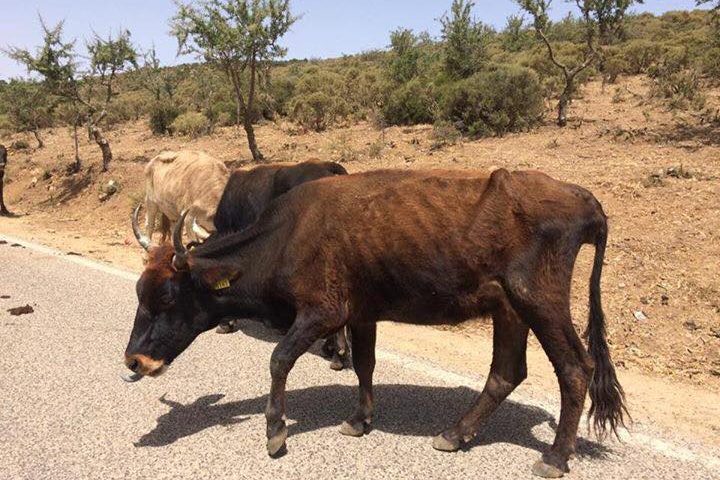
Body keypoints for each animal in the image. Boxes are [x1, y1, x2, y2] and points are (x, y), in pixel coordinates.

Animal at [125, 169, 632, 476]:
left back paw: (554, 457)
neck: (289, 233)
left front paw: (275, 432)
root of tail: (584, 199)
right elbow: (365, 366)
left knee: (575, 369)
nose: (134, 361)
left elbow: (279, 359)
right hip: (509, 310)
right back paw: (454, 434)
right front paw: (359, 420)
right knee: (507, 372)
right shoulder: (362, 313)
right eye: (139, 292)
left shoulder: (323, 313)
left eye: (167, 296)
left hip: (540, 302)